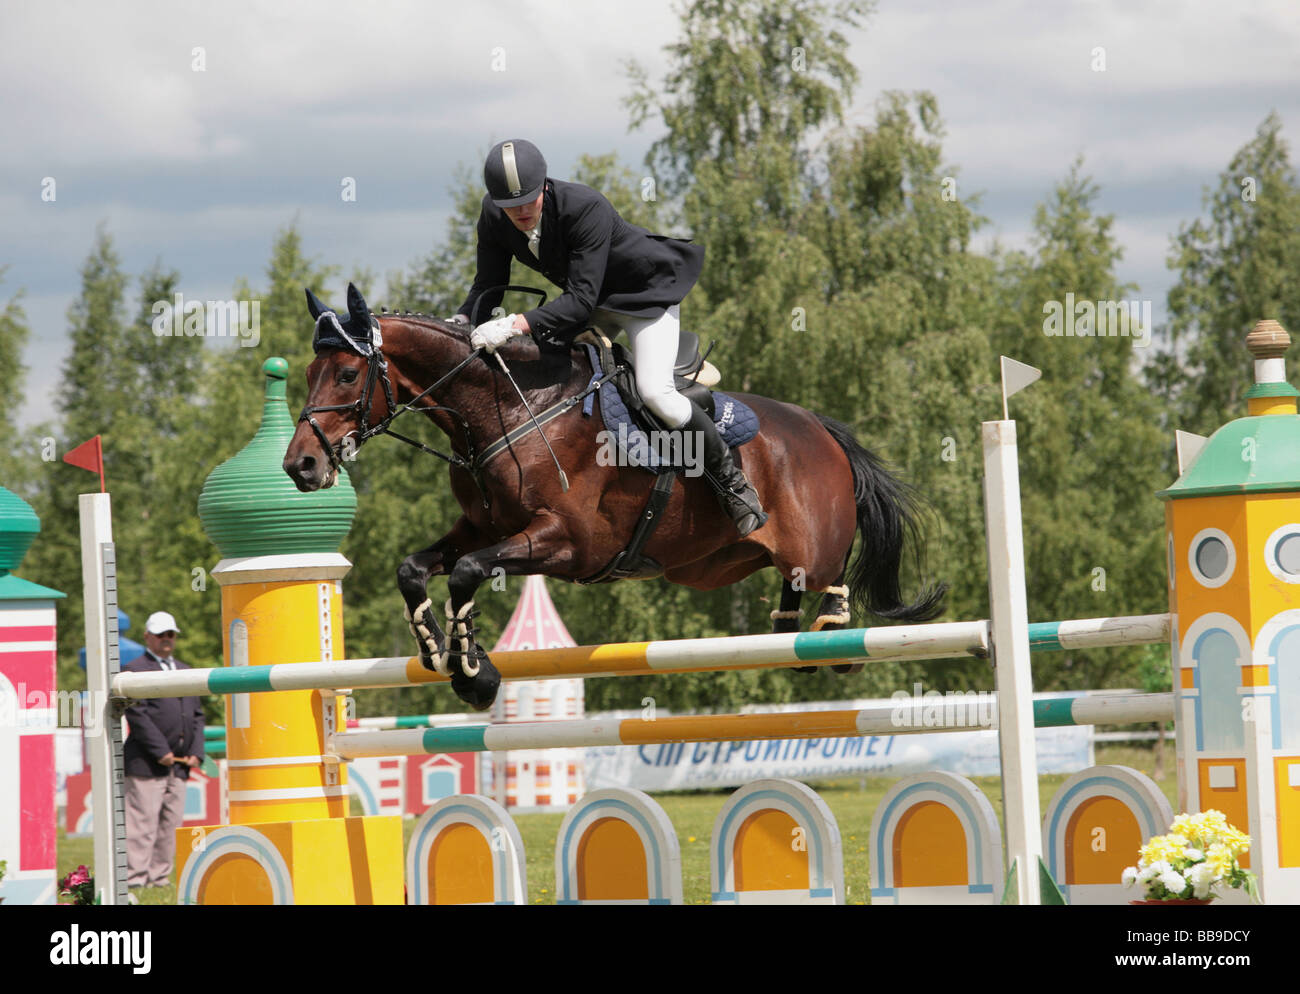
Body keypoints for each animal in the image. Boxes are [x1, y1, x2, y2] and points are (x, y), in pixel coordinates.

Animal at [283, 283, 946, 710]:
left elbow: (468, 571)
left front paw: (474, 675)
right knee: (790, 611)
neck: (512, 411)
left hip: (815, 555)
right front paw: (441, 653)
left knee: (835, 618)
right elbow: (415, 569)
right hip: (717, 564)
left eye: (347, 375)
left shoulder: (568, 543)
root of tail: (823, 430)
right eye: (310, 374)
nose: (300, 466)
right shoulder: (480, 527)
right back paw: (783, 627)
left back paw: (822, 620)